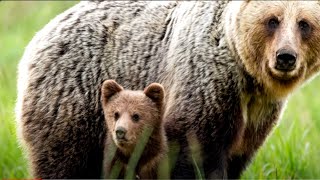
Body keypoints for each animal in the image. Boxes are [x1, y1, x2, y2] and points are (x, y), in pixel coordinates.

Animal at [16, 1, 320, 179]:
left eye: (304, 23)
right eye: (273, 20)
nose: (285, 57)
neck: (247, 76)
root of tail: (41, 33)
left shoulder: (257, 114)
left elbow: (237, 154)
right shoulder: (206, 82)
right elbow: (196, 148)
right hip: (75, 96)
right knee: (65, 161)